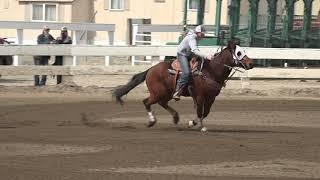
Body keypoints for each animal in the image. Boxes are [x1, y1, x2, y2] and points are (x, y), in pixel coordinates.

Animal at [112, 39, 252, 131]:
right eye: (239, 53)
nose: (251, 63)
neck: (211, 70)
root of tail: (150, 70)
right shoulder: (199, 96)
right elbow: (200, 112)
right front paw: (199, 126)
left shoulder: (211, 98)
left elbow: (206, 112)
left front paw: (193, 123)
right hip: (158, 93)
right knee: (146, 102)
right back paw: (152, 121)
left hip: (167, 93)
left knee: (161, 103)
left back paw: (175, 117)